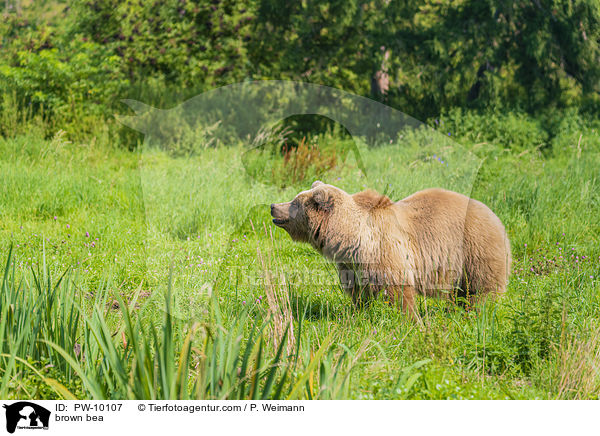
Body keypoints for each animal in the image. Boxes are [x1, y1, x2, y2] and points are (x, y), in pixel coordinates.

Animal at [272, 181, 510, 320]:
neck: (350, 237)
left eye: (294, 202)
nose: (273, 206)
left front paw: (411, 320)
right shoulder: (352, 264)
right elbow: (359, 292)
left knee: (481, 289)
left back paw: (474, 314)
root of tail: (496, 217)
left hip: (475, 248)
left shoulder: (386, 250)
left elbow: (398, 288)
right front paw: (359, 313)